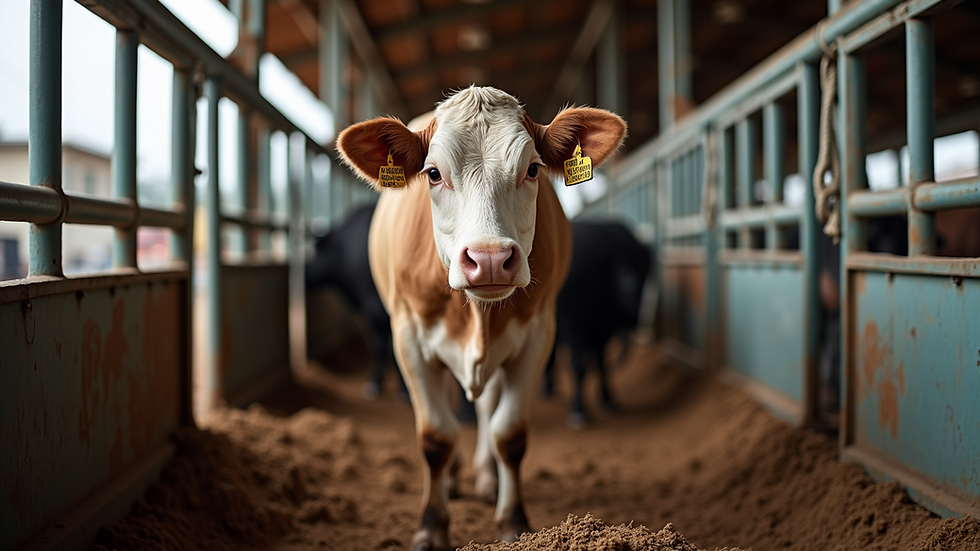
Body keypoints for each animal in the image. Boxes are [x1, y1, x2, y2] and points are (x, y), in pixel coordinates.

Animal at [336, 86, 626, 550]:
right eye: (433, 173)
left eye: (532, 169)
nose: (489, 259)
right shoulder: (408, 337)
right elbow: (436, 435)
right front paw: (431, 525)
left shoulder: (538, 335)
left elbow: (509, 433)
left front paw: (513, 521)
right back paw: (454, 479)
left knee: (488, 408)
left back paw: (487, 479)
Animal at [541, 220, 653, 427]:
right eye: (628, 280)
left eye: (646, 277)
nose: (634, 320)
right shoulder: (575, 329)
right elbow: (579, 367)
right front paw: (578, 410)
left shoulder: (603, 333)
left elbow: (601, 365)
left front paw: (607, 399)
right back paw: (547, 389)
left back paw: (550, 388)